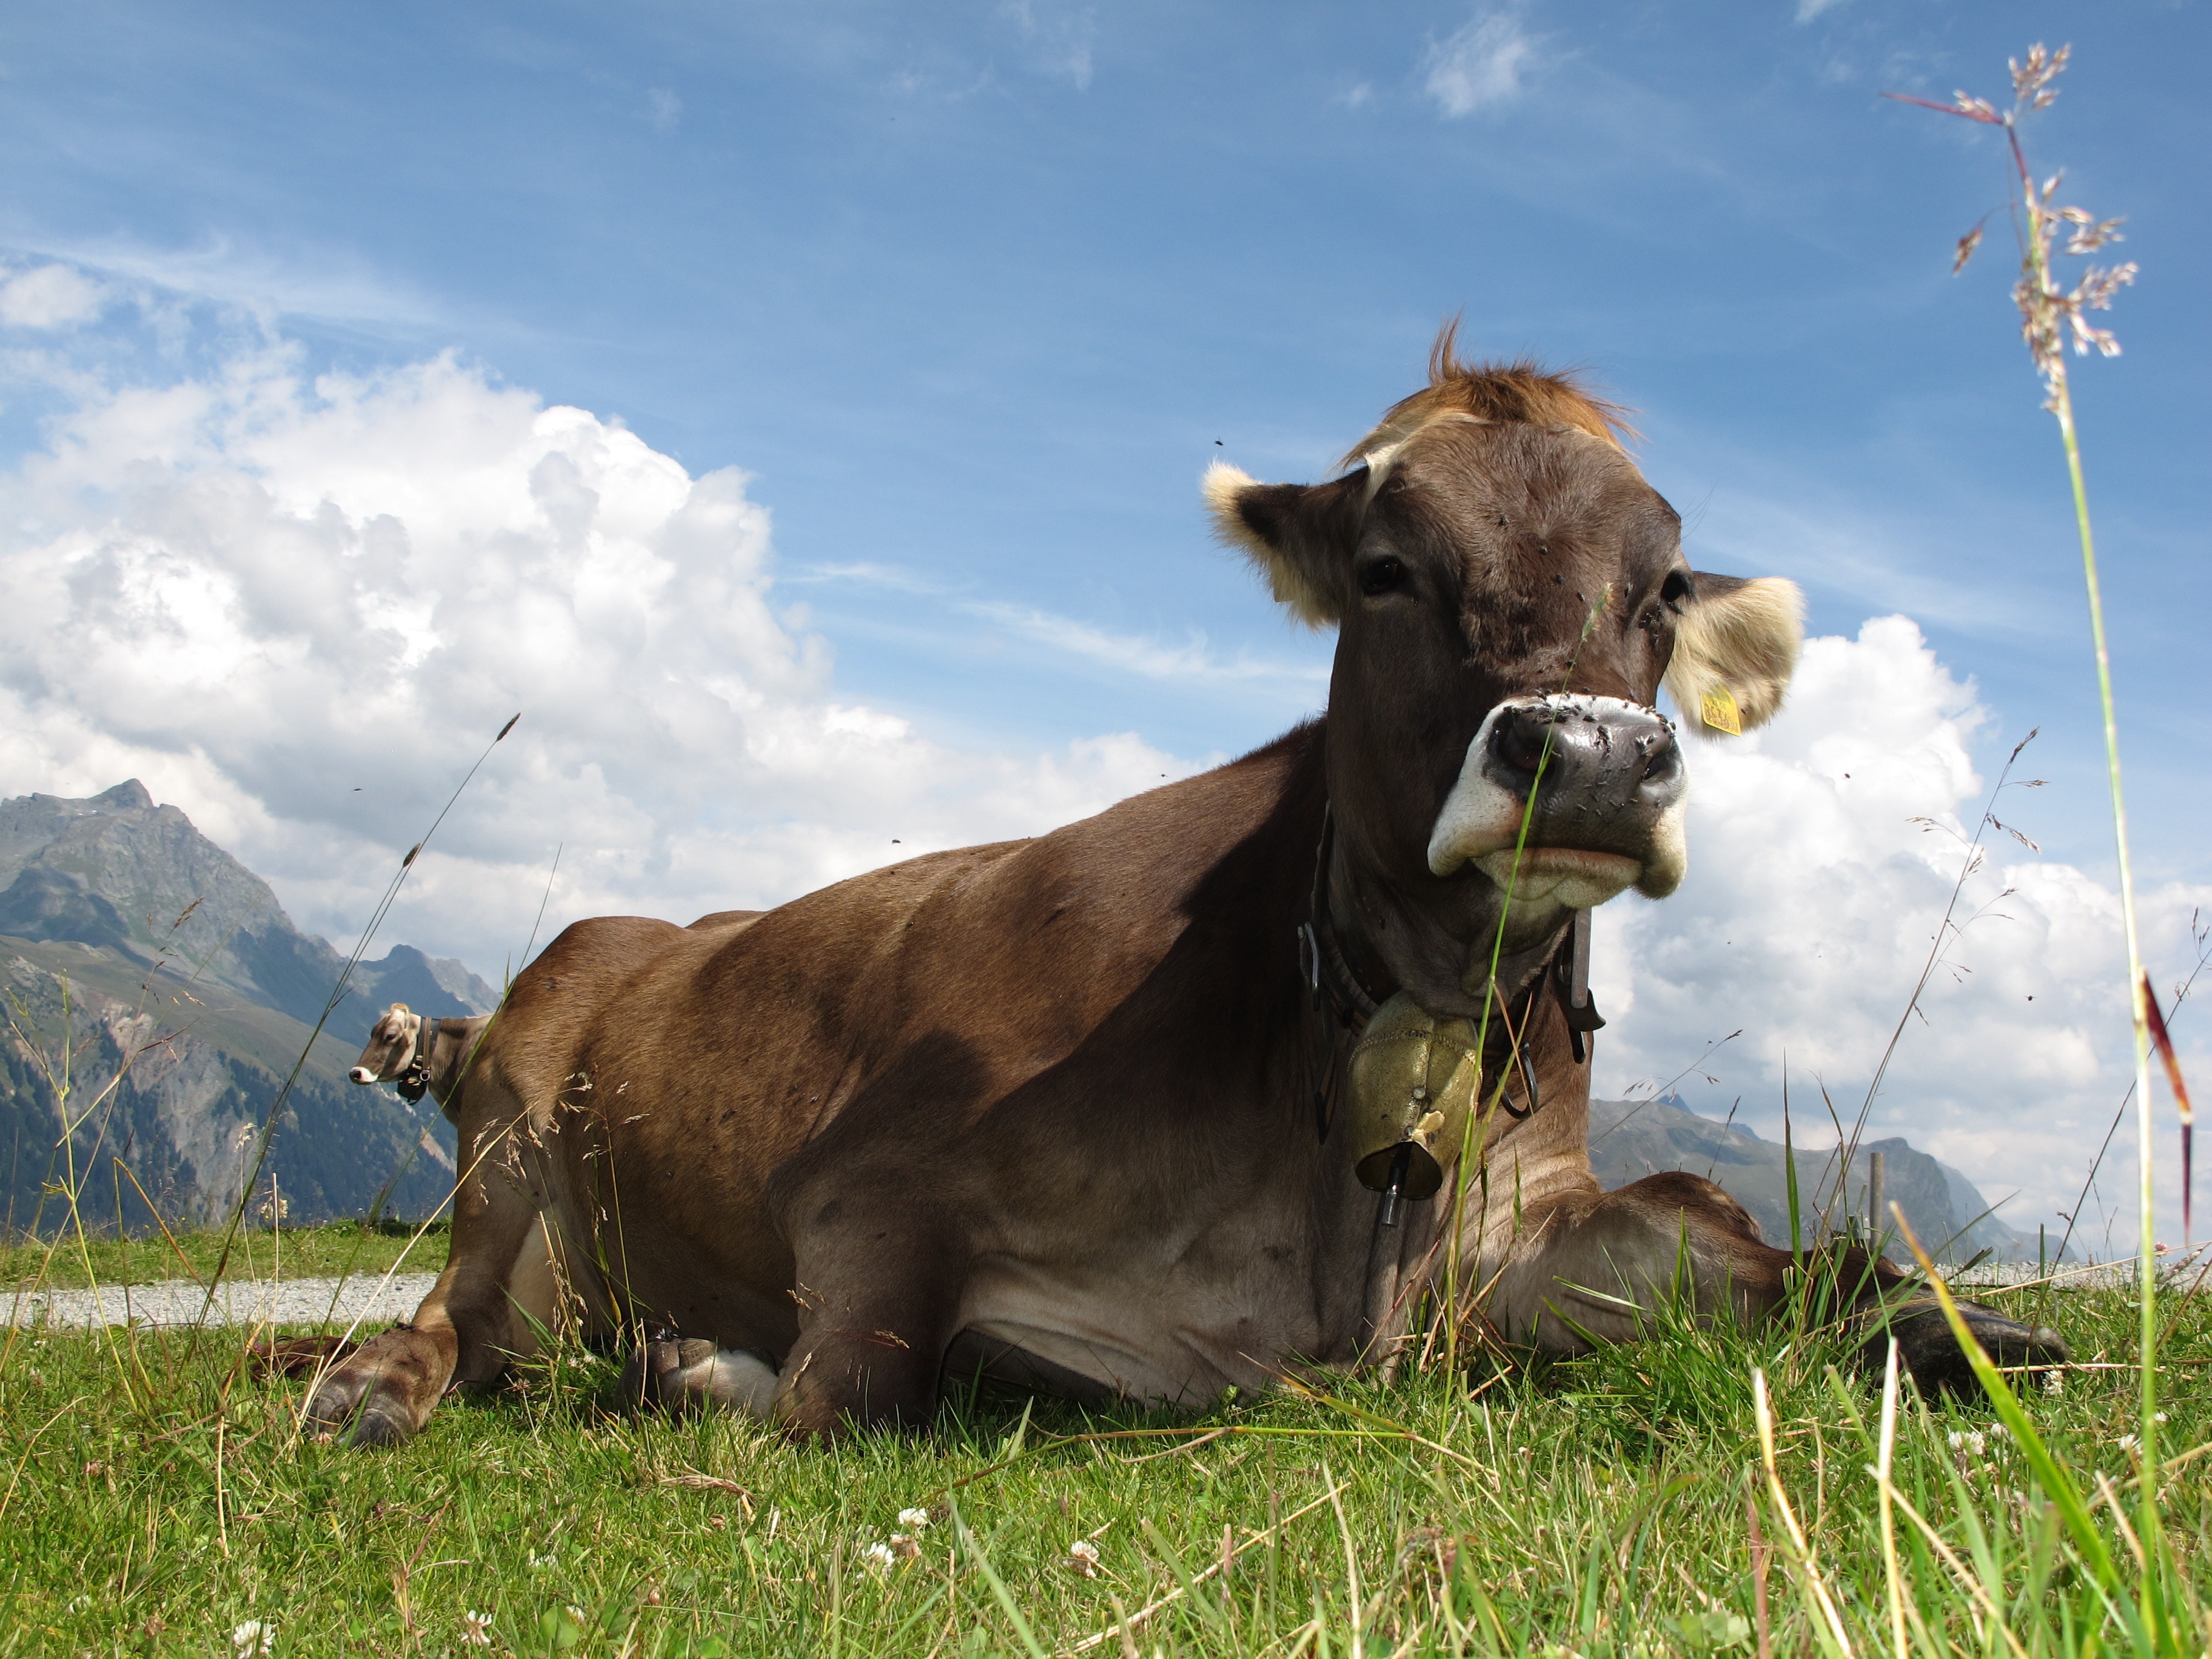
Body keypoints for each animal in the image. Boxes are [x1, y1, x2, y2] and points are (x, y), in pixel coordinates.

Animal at [308, 336, 2063, 1446]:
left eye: (1666, 586)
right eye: (1387, 569)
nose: (1590, 755)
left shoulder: (1524, 1226)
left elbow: (1750, 1249)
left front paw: (1966, 1333)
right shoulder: (868, 1185)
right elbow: (854, 1387)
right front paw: (709, 1375)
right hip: (516, 1136)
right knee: (461, 1317)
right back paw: (377, 1388)